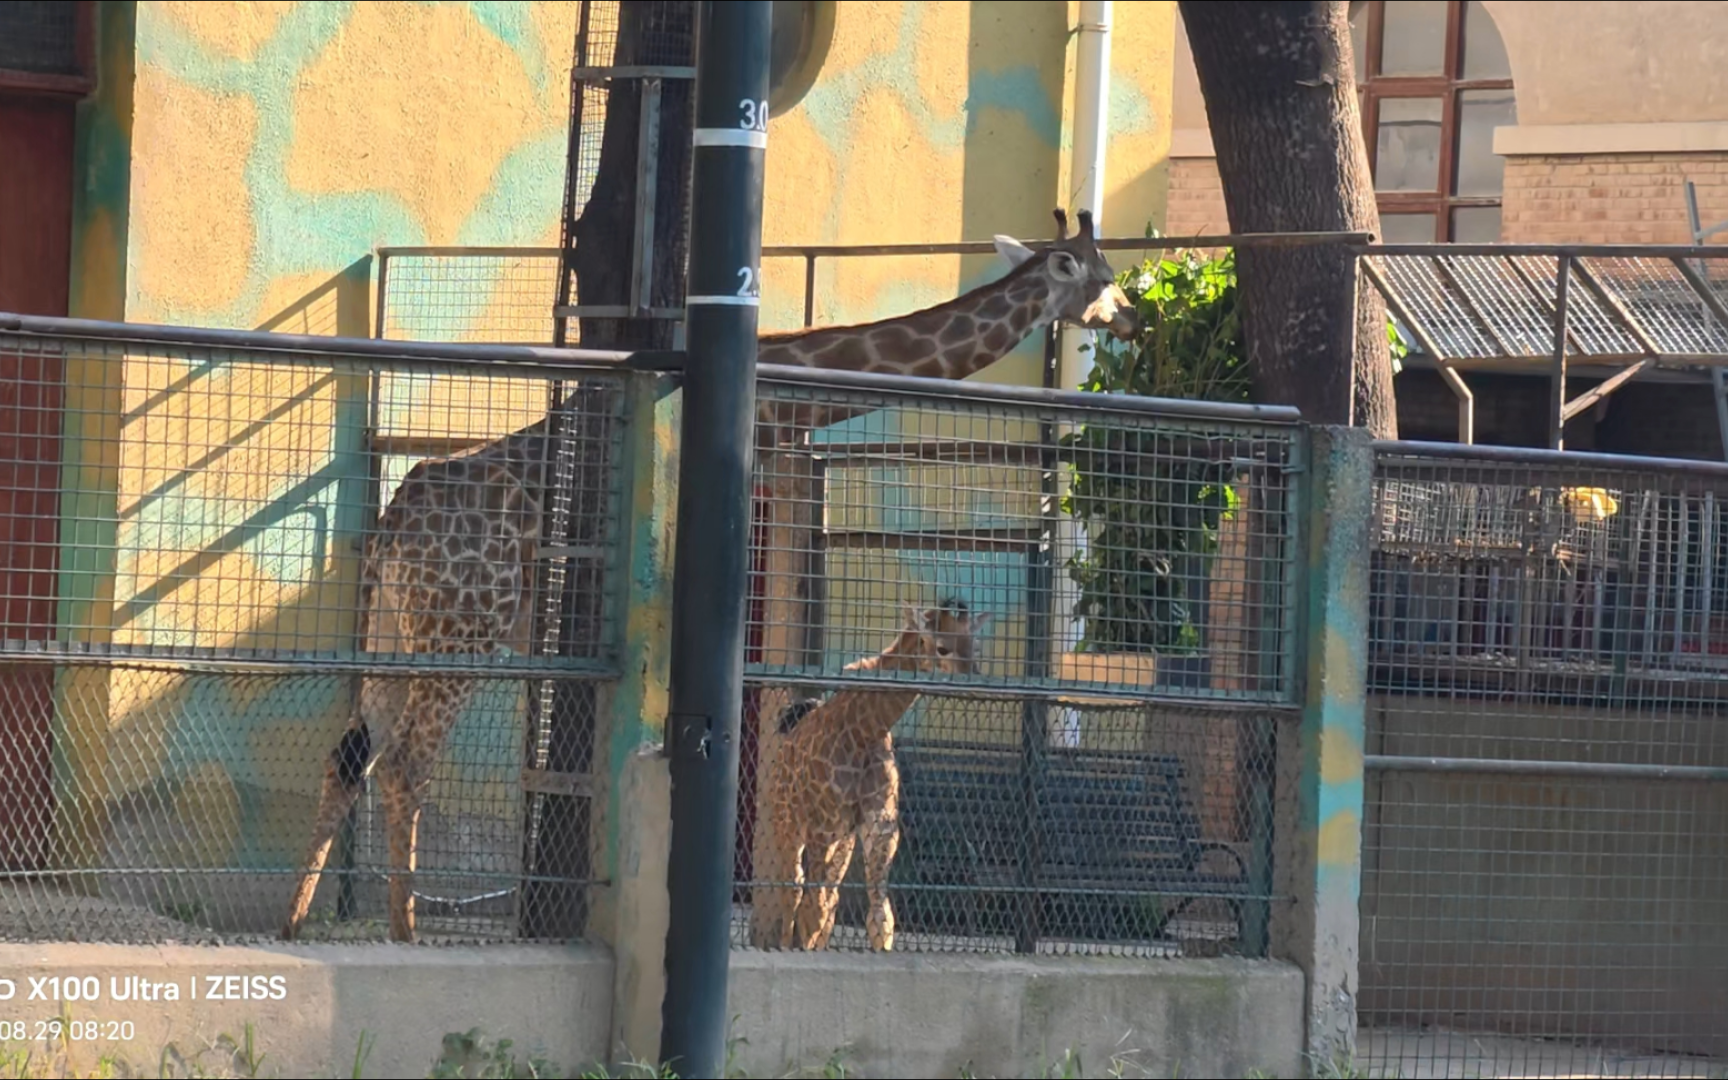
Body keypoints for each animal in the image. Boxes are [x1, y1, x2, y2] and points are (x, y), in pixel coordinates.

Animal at [753, 597, 995, 953]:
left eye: (973, 644)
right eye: (942, 647)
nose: (975, 677)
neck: (866, 730)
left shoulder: (879, 827)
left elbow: (880, 917)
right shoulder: (821, 826)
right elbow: (814, 908)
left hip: (842, 838)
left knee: (828, 900)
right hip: (788, 822)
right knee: (794, 890)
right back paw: (786, 944)